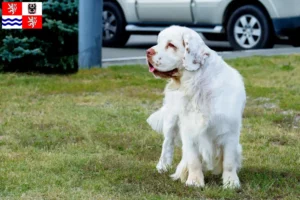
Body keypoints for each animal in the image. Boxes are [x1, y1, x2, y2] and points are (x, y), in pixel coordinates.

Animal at [145, 25, 246, 188]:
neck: (197, 84)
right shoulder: (189, 128)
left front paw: (231, 182)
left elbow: (229, 161)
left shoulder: (229, 131)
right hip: (171, 119)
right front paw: (194, 181)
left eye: (171, 45)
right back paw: (162, 166)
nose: (148, 52)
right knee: (167, 143)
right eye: (158, 42)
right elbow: (193, 159)